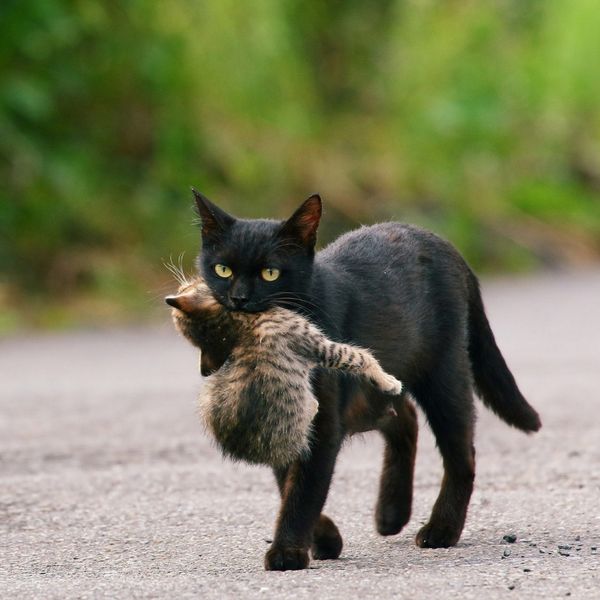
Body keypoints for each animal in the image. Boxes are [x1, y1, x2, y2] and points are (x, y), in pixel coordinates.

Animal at [166, 276, 406, 468]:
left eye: (187, 286)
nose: (179, 285)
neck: (240, 322)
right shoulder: (318, 346)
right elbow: (359, 357)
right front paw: (388, 381)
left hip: (208, 395)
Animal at [193, 189, 544, 572]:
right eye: (222, 269)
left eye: (270, 273)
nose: (239, 298)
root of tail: (439, 241)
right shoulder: (280, 421)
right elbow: (288, 480)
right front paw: (325, 539)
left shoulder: (323, 423)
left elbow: (305, 488)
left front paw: (288, 551)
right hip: (373, 391)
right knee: (404, 417)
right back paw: (391, 513)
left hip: (443, 373)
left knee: (461, 450)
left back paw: (441, 529)